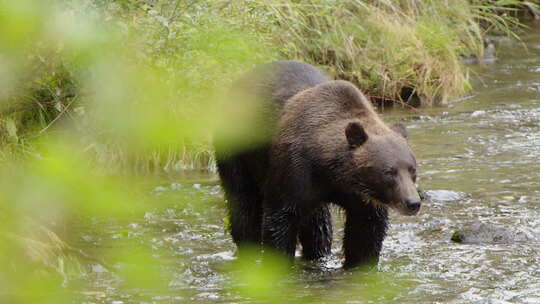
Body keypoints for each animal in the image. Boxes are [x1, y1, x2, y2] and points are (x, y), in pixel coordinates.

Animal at [213, 60, 420, 268]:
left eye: (412, 170)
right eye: (388, 171)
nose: (413, 202)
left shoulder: (359, 195)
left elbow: (366, 230)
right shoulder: (292, 171)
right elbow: (279, 221)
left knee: (318, 224)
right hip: (236, 150)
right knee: (243, 203)